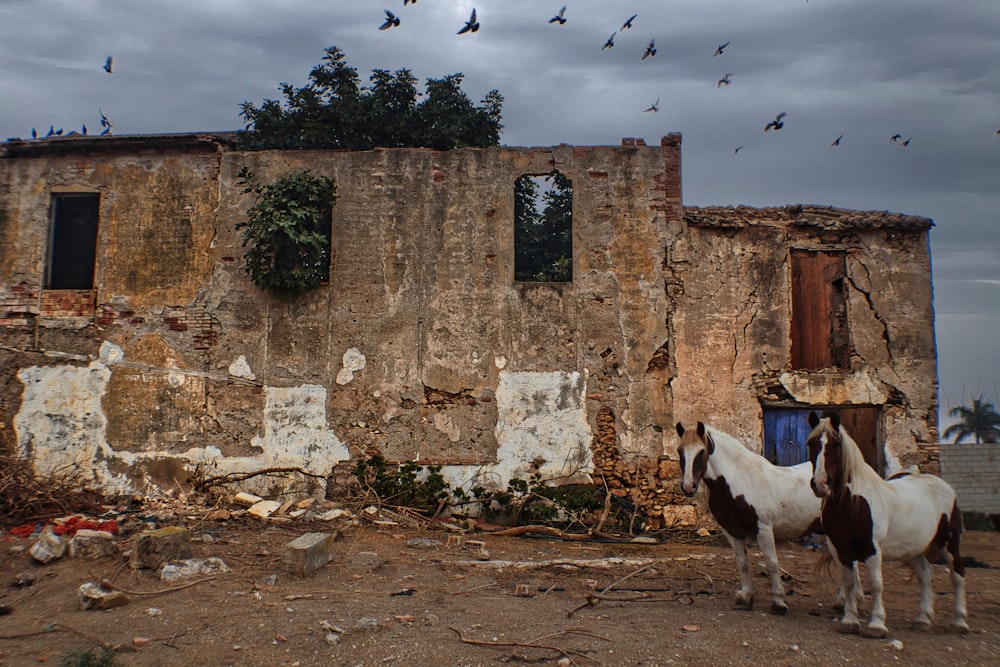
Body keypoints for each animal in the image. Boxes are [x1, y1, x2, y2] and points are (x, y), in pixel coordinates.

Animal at [676, 422, 856, 616]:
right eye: (679, 451)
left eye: (701, 451)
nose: (688, 487)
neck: (740, 481)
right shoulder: (732, 532)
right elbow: (742, 563)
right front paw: (746, 597)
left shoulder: (763, 530)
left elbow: (771, 564)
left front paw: (778, 602)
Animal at [812, 412, 968, 636]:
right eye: (811, 444)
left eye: (836, 444)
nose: (820, 484)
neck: (852, 503)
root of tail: (944, 485)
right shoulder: (839, 549)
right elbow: (848, 583)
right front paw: (849, 621)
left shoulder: (872, 549)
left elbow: (876, 584)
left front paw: (877, 625)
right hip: (914, 549)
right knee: (925, 575)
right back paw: (922, 619)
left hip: (948, 543)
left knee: (958, 575)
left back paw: (960, 622)